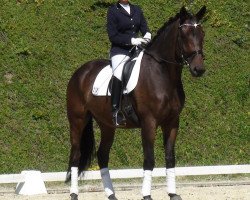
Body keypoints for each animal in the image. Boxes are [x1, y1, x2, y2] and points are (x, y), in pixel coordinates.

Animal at [65, 6, 206, 200]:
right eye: (184, 34)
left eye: (202, 33)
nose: (198, 69)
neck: (163, 74)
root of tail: (80, 72)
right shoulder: (149, 122)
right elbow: (149, 159)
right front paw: (146, 195)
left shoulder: (172, 123)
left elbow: (170, 158)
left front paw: (172, 193)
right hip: (77, 120)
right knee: (75, 155)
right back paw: (74, 194)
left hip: (107, 124)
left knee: (102, 155)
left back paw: (111, 195)